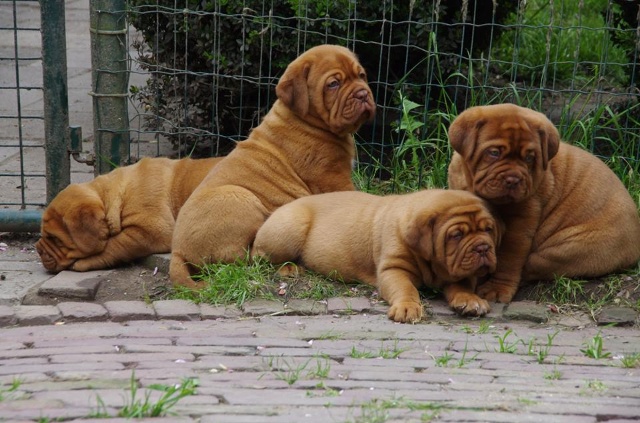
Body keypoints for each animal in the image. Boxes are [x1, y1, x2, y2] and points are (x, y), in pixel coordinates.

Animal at [169, 44, 376, 288]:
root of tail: (177, 251)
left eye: (361, 76)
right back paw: (289, 266)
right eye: (333, 84)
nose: (363, 94)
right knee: (246, 260)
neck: (306, 120)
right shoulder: (332, 177)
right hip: (240, 197)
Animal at [251, 189, 501, 323]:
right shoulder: (393, 269)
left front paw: (470, 300)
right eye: (456, 235)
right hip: (290, 227)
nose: (483, 248)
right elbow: (405, 288)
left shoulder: (461, 273)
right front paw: (408, 307)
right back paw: (290, 268)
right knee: (257, 255)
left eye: (488, 229)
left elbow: (462, 286)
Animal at [447, 103, 640, 303]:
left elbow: (508, 259)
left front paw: (497, 289)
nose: (513, 180)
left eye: (529, 158)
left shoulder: (520, 222)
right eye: (494, 153)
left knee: (533, 265)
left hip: (568, 250)